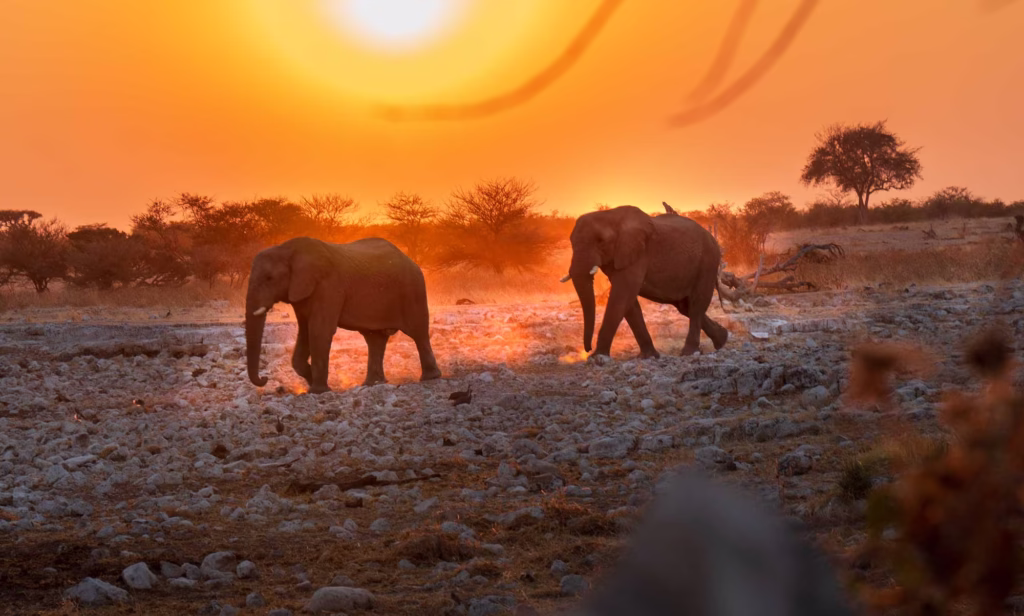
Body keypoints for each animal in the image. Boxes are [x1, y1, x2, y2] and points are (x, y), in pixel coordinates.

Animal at [245, 236, 442, 393]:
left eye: (269, 278)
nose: (265, 379)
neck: (286, 249)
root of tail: (412, 261)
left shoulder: (329, 286)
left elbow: (318, 330)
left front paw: (318, 390)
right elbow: (305, 332)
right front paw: (311, 380)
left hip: (413, 289)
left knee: (418, 332)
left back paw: (430, 378)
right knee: (374, 339)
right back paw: (373, 384)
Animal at [561, 205, 729, 358]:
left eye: (601, 241)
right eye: (571, 242)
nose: (587, 350)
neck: (610, 215)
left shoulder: (638, 254)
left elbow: (621, 295)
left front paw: (597, 358)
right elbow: (628, 302)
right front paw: (648, 356)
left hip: (708, 261)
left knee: (697, 303)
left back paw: (689, 353)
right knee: (685, 306)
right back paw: (723, 339)